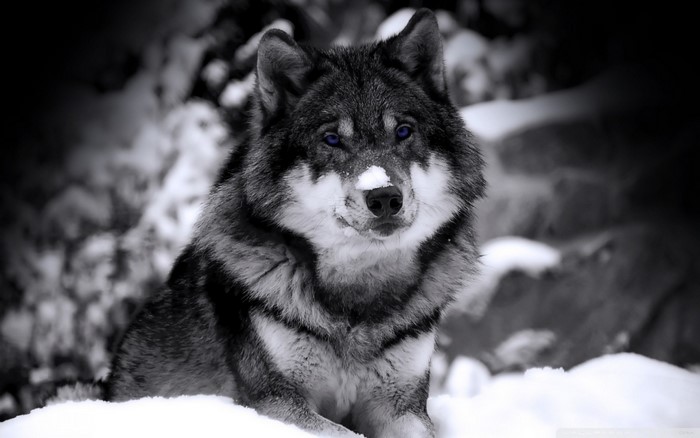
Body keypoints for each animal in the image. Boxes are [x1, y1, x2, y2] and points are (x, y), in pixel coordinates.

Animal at [106, 9, 484, 438]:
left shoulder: (402, 406)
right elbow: (344, 433)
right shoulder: (276, 402)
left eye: (403, 132)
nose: (384, 196)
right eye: (332, 139)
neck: (358, 299)